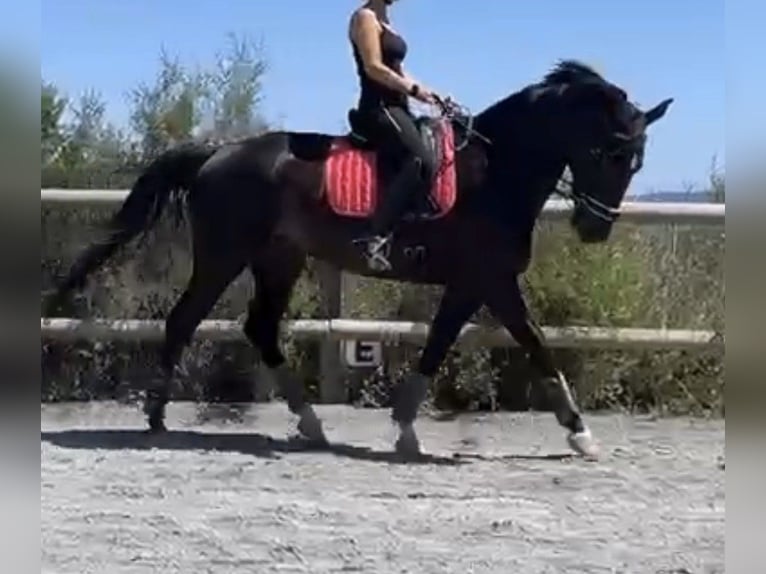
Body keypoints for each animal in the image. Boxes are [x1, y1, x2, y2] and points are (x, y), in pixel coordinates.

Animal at [45, 60, 673, 459]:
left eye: (637, 160)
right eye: (610, 152)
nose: (595, 228)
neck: (496, 172)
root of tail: (218, 153)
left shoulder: (472, 285)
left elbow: (440, 345)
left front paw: (406, 429)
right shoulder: (489, 280)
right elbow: (536, 344)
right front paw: (581, 434)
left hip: (279, 259)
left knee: (260, 327)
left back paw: (311, 425)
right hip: (224, 255)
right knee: (183, 319)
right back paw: (155, 419)